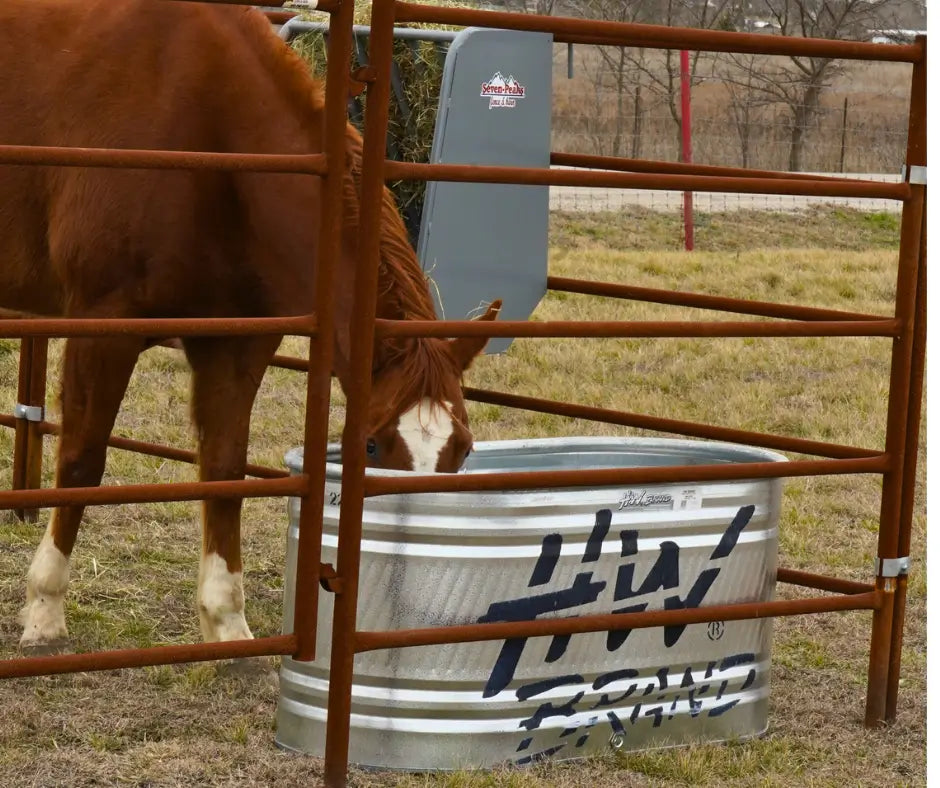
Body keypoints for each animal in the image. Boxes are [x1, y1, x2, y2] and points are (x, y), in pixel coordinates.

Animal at [1, 0, 500, 652]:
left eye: (463, 448)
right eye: (371, 444)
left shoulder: (236, 346)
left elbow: (225, 471)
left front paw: (227, 625)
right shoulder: (102, 328)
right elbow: (82, 462)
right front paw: (44, 610)